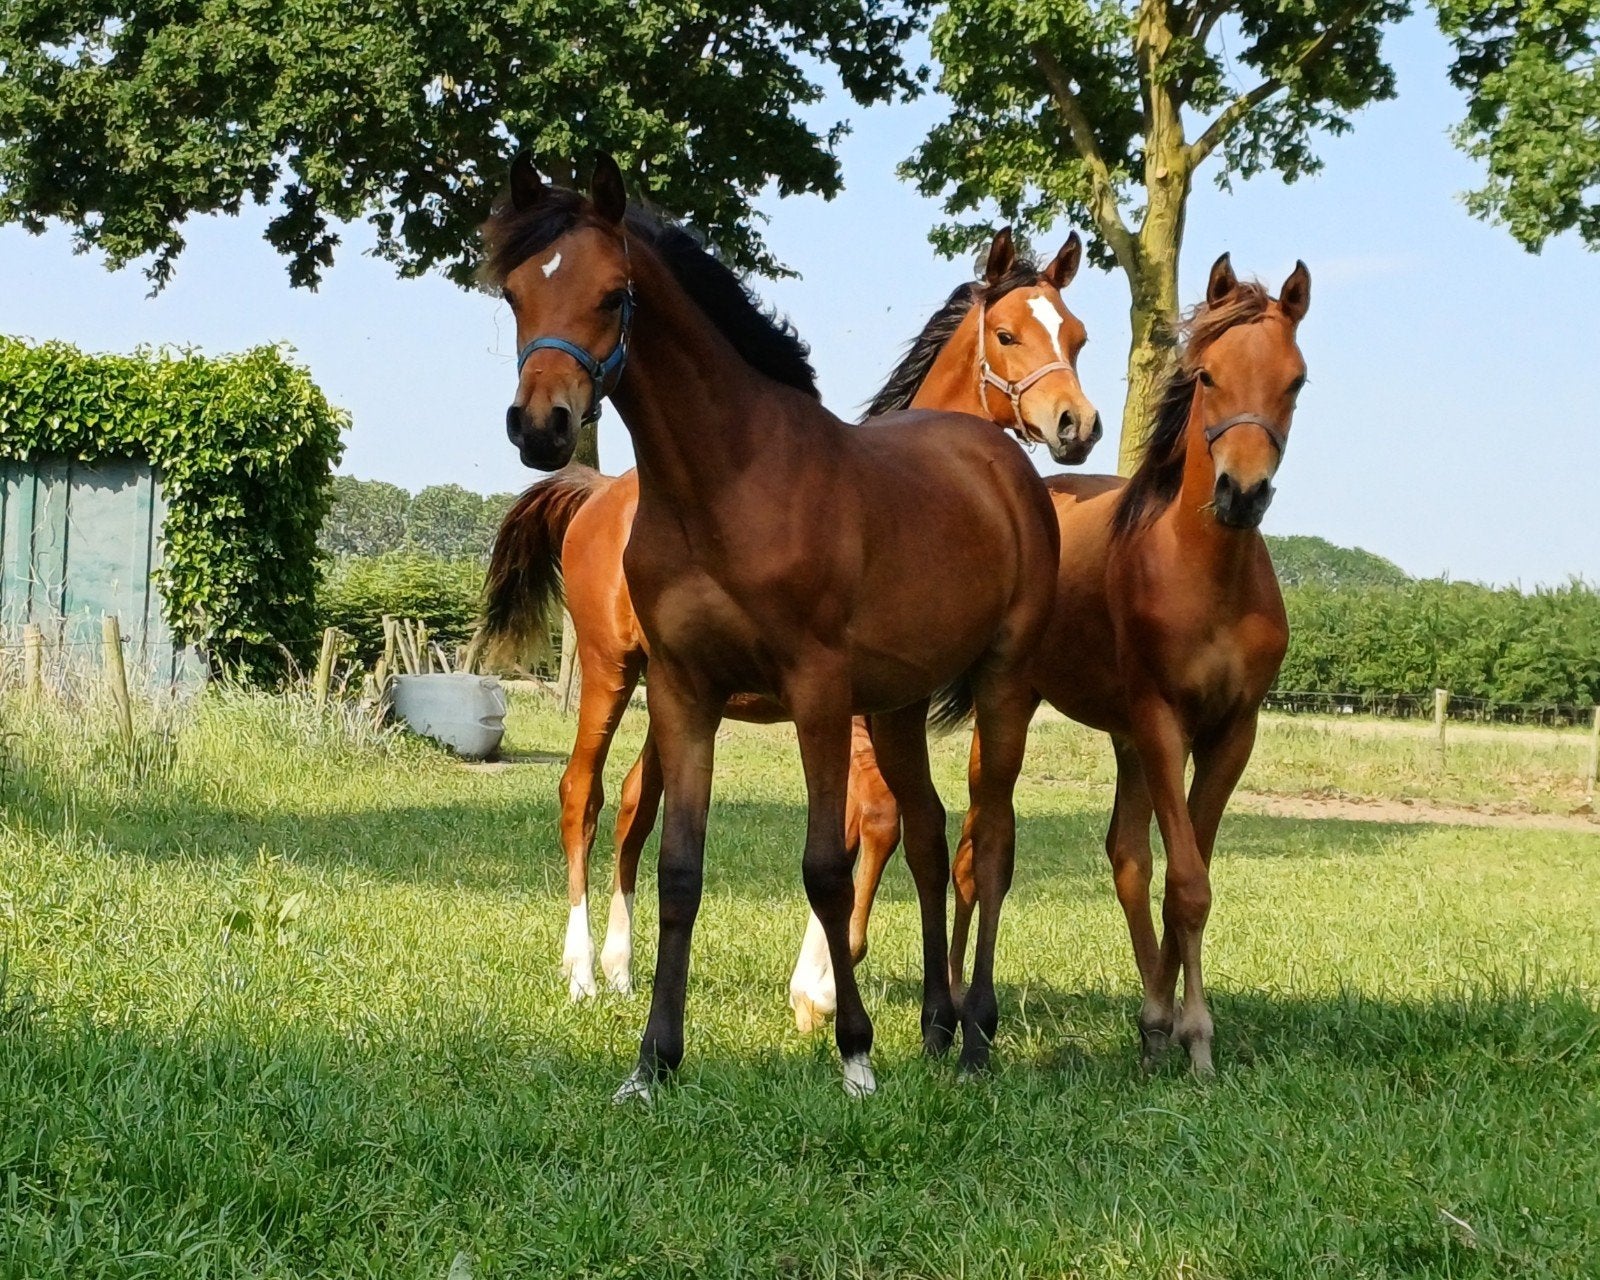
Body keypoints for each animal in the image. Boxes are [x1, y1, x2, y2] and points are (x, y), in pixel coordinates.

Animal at [485, 153, 1062, 1098]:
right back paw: (935, 1027)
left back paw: (974, 1035)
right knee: (930, 833)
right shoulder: (687, 691)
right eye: (517, 293)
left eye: (614, 293)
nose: (542, 426)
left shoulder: (818, 695)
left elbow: (826, 867)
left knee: (992, 840)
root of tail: (1000, 463)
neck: (728, 481)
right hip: (879, 707)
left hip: (1004, 685)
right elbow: (680, 867)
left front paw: (853, 1050)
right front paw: (654, 1060)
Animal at [830, 253, 1310, 1074]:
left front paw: (1174, 1025)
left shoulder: (1230, 732)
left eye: (1296, 381)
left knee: (1114, 857)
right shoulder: (1160, 721)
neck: (1206, 573)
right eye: (1207, 375)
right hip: (1035, 713)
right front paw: (1196, 1039)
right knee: (974, 849)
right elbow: (1185, 879)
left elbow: (1186, 875)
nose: (1241, 494)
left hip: (1112, 736)